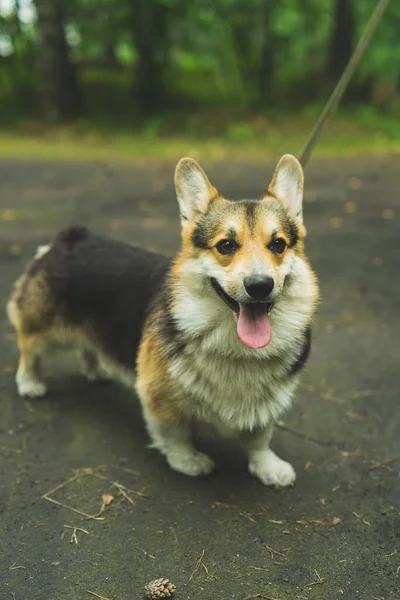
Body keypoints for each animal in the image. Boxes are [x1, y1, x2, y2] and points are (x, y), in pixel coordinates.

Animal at [6, 155, 318, 488]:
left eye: (278, 245)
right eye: (226, 245)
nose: (260, 285)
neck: (232, 345)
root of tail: (71, 236)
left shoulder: (265, 405)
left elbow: (259, 438)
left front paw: (268, 467)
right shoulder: (159, 396)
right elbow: (175, 433)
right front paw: (188, 461)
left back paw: (96, 371)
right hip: (43, 329)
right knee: (29, 350)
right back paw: (30, 383)